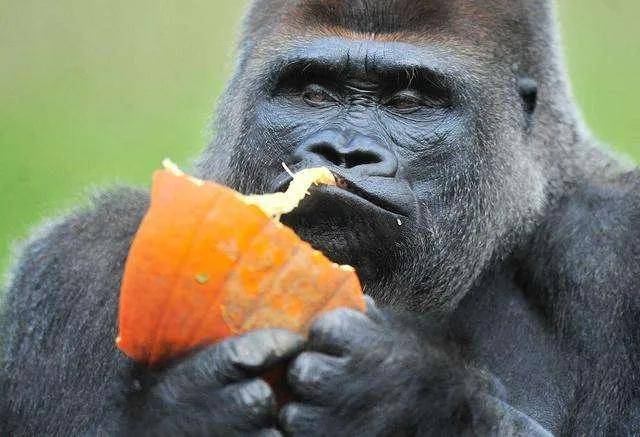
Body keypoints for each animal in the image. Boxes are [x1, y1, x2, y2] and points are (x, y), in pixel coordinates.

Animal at [1, 0, 640, 434]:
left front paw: (407, 395)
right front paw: (182, 413)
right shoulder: (71, 267)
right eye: (312, 91)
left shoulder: (613, 248)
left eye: (409, 101)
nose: (345, 151)